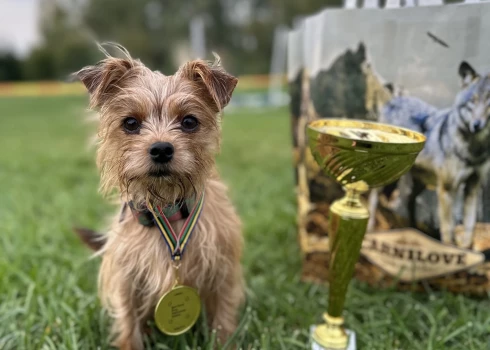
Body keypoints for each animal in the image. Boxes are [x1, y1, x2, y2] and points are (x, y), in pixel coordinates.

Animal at [73, 44, 245, 350]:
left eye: (189, 121)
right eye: (130, 123)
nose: (161, 148)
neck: (168, 205)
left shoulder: (222, 272)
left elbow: (223, 319)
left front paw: (224, 343)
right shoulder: (127, 279)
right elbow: (129, 323)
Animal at [368, 62, 490, 249]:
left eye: (489, 102)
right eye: (473, 101)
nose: (476, 125)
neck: (474, 151)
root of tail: (395, 100)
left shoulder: (473, 188)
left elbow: (470, 227)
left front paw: (467, 250)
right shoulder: (446, 189)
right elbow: (448, 228)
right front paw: (450, 249)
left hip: (420, 184)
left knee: (408, 201)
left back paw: (413, 229)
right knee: (374, 198)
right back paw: (370, 229)